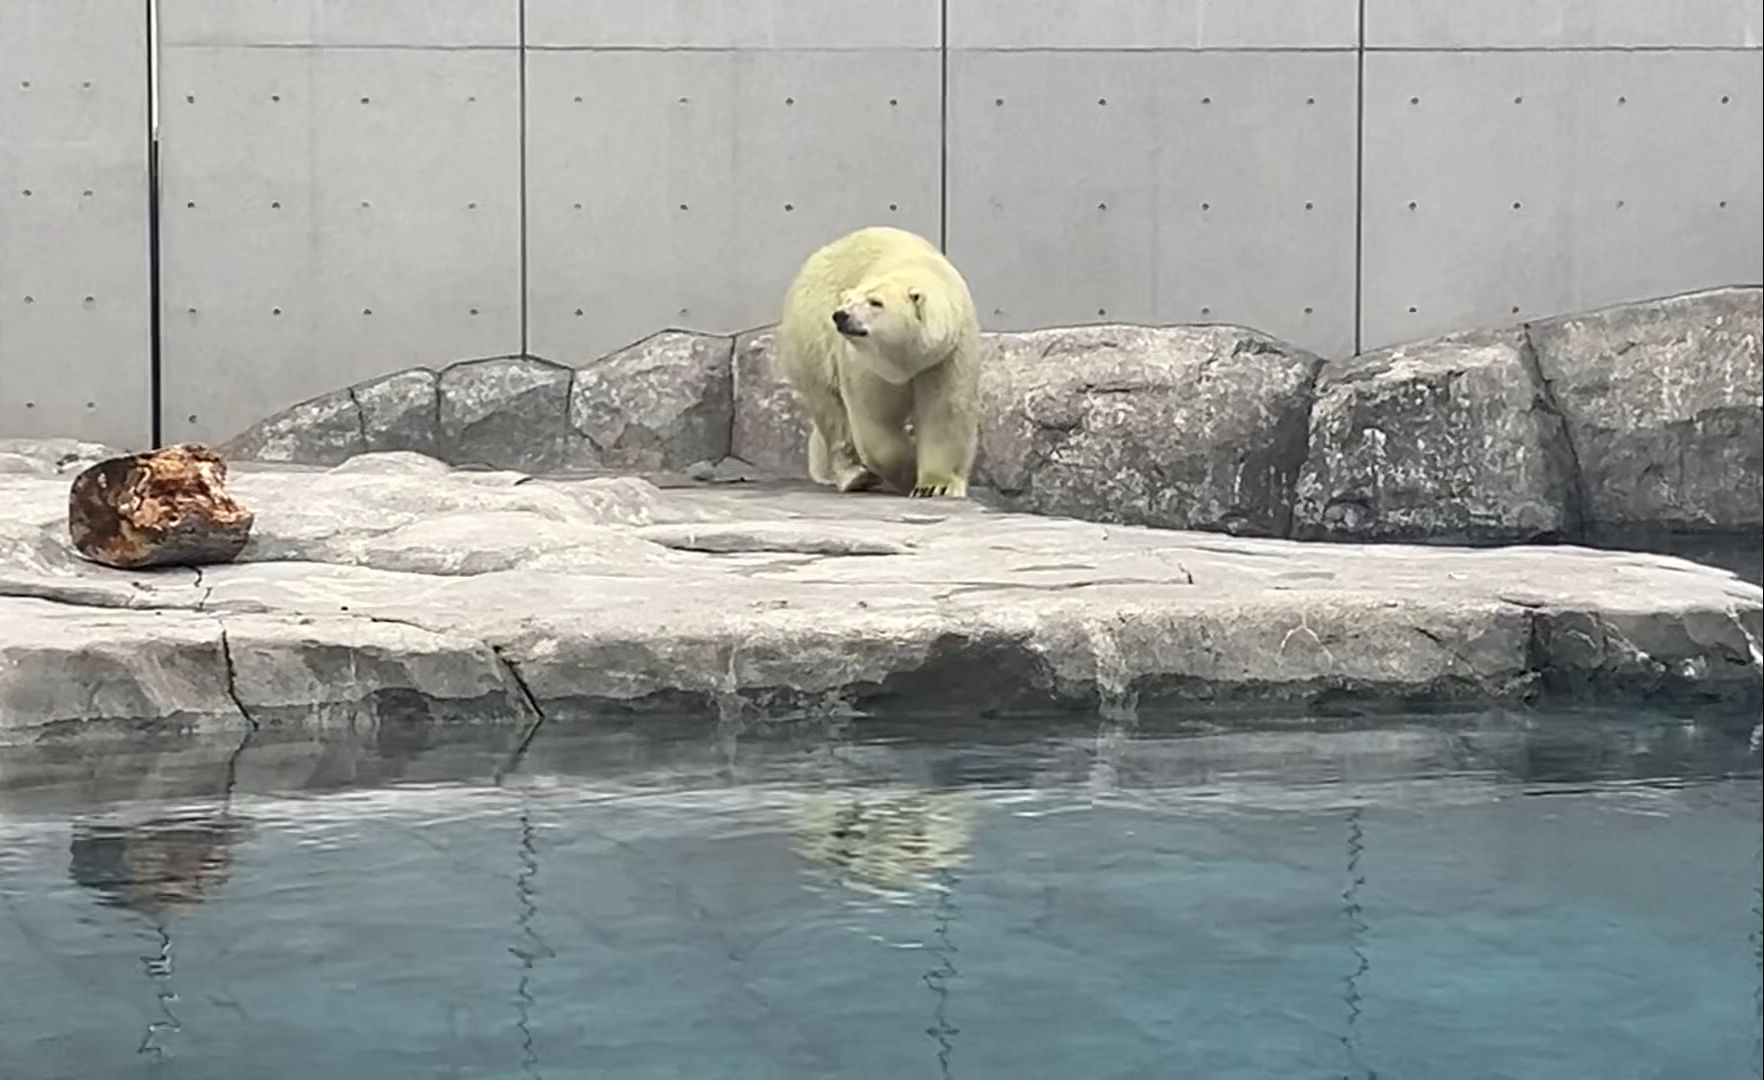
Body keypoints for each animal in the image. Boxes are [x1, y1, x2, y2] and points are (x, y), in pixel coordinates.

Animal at [779, 229, 987, 501]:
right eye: (848, 299)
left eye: (875, 302)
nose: (841, 315)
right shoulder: (866, 363)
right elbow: (874, 419)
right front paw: (909, 471)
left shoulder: (948, 353)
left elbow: (945, 411)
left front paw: (934, 486)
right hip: (811, 334)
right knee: (831, 409)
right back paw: (855, 475)